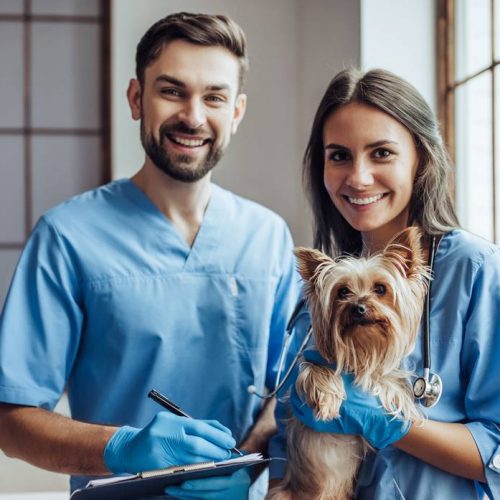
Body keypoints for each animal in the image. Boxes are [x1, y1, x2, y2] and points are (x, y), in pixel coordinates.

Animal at [270, 228, 430, 500]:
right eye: (342, 291)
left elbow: (388, 385)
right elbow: (313, 372)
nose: (359, 308)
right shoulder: (312, 362)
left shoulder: (385, 373)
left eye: (380, 288)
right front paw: (326, 401)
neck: (361, 350)